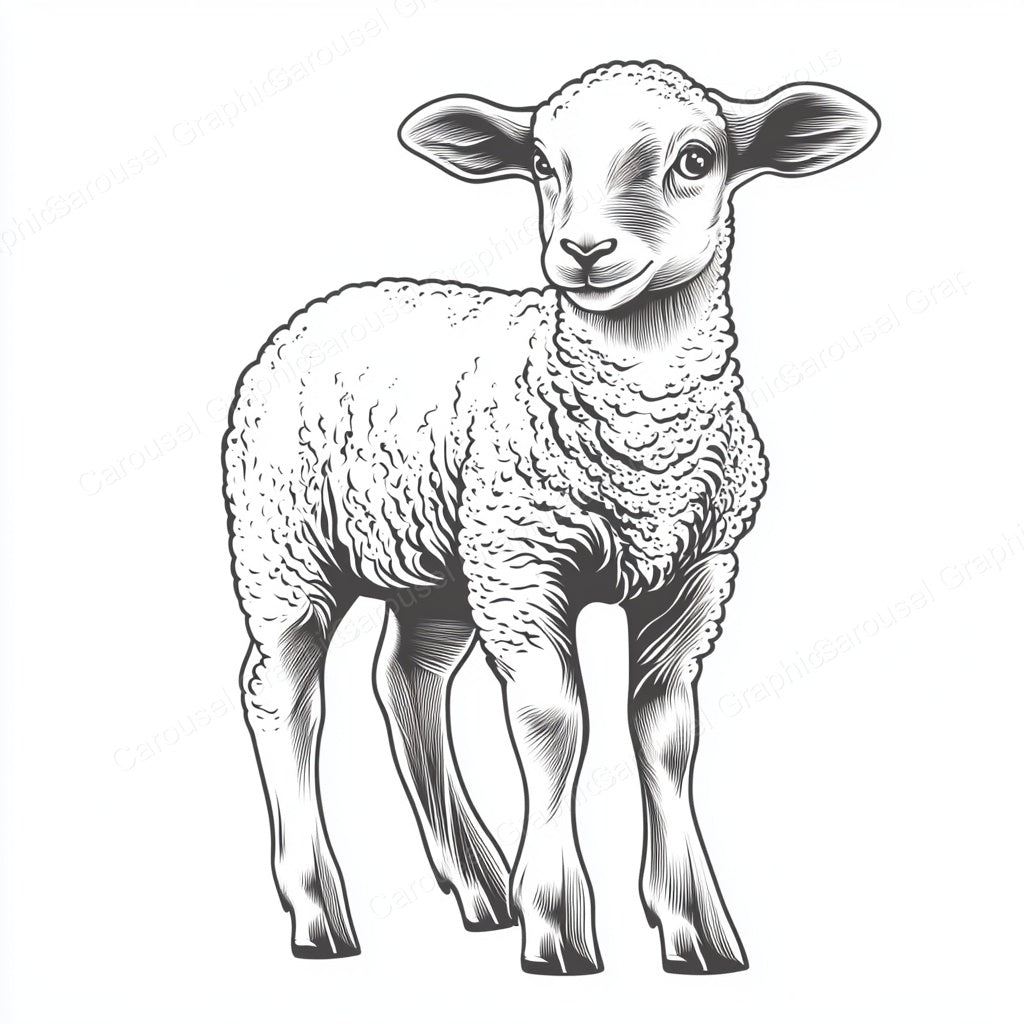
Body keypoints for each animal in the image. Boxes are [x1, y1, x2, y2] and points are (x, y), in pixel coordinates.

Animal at [223, 59, 879, 975]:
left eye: (696, 159)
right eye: (541, 164)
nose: (585, 250)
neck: (640, 424)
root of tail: (330, 303)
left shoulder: (696, 577)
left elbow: (665, 730)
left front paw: (693, 924)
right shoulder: (525, 566)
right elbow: (557, 724)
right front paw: (559, 926)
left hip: (441, 563)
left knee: (406, 681)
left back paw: (481, 887)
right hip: (285, 545)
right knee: (282, 694)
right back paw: (321, 911)